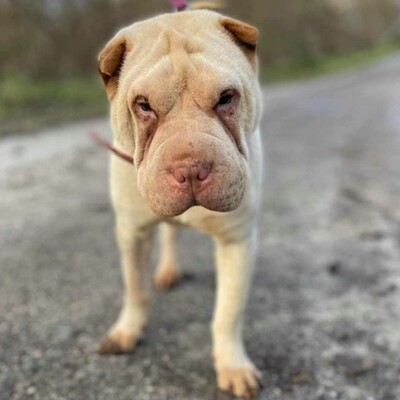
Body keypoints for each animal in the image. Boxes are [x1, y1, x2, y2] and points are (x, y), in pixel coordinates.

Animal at [97, 2, 262, 396]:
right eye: (143, 106)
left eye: (226, 98)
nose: (190, 169)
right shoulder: (132, 233)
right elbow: (135, 288)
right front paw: (126, 332)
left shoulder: (238, 241)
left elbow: (228, 311)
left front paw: (233, 366)